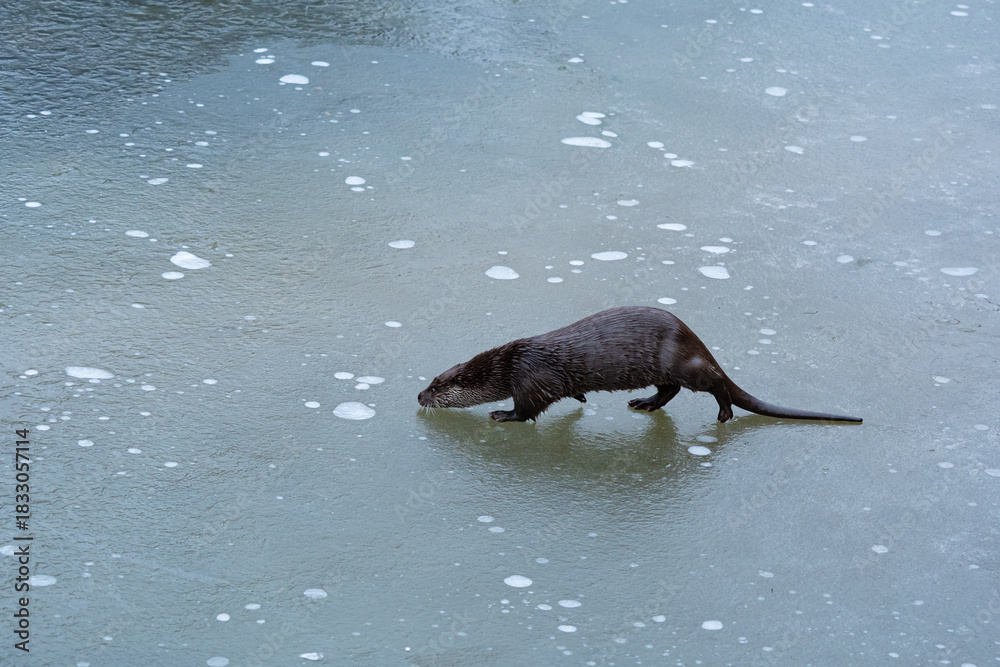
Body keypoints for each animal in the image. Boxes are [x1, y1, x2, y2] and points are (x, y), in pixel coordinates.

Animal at [417, 306, 862, 424]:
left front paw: (501, 414)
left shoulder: (530, 379)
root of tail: (695, 338)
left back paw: (723, 414)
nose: (419, 396)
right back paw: (643, 404)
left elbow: (527, 408)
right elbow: (566, 394)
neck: (509, 365)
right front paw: (581, 400)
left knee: (713, 383)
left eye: (437, 387)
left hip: (684, 363)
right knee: (670, 390)